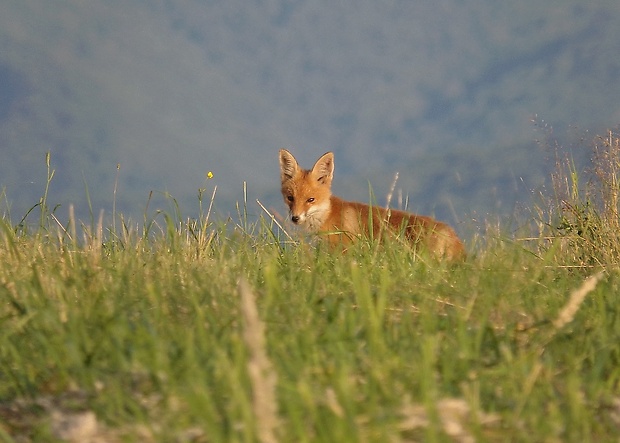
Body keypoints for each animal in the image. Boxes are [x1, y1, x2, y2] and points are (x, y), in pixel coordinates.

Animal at [280, 149, 464, 260]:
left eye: (310, 200)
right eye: (290, 198)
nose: (295, 218)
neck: (326, 215)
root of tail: (452, 234)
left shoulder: (344, 251)